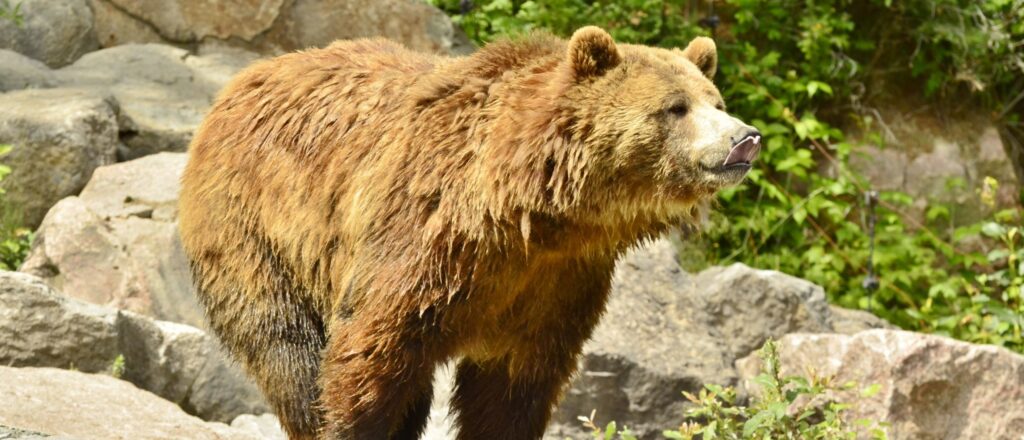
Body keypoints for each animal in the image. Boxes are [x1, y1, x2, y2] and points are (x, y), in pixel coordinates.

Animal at [178, 26, 760, 440]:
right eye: (675, 107)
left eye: (716, 101)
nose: (745, 138)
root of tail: (241, 81)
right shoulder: (425, 241)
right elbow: (369, 352)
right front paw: (348, 425)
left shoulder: (557, 281)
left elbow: (511, 389)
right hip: (253, 228)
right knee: (287, 349)